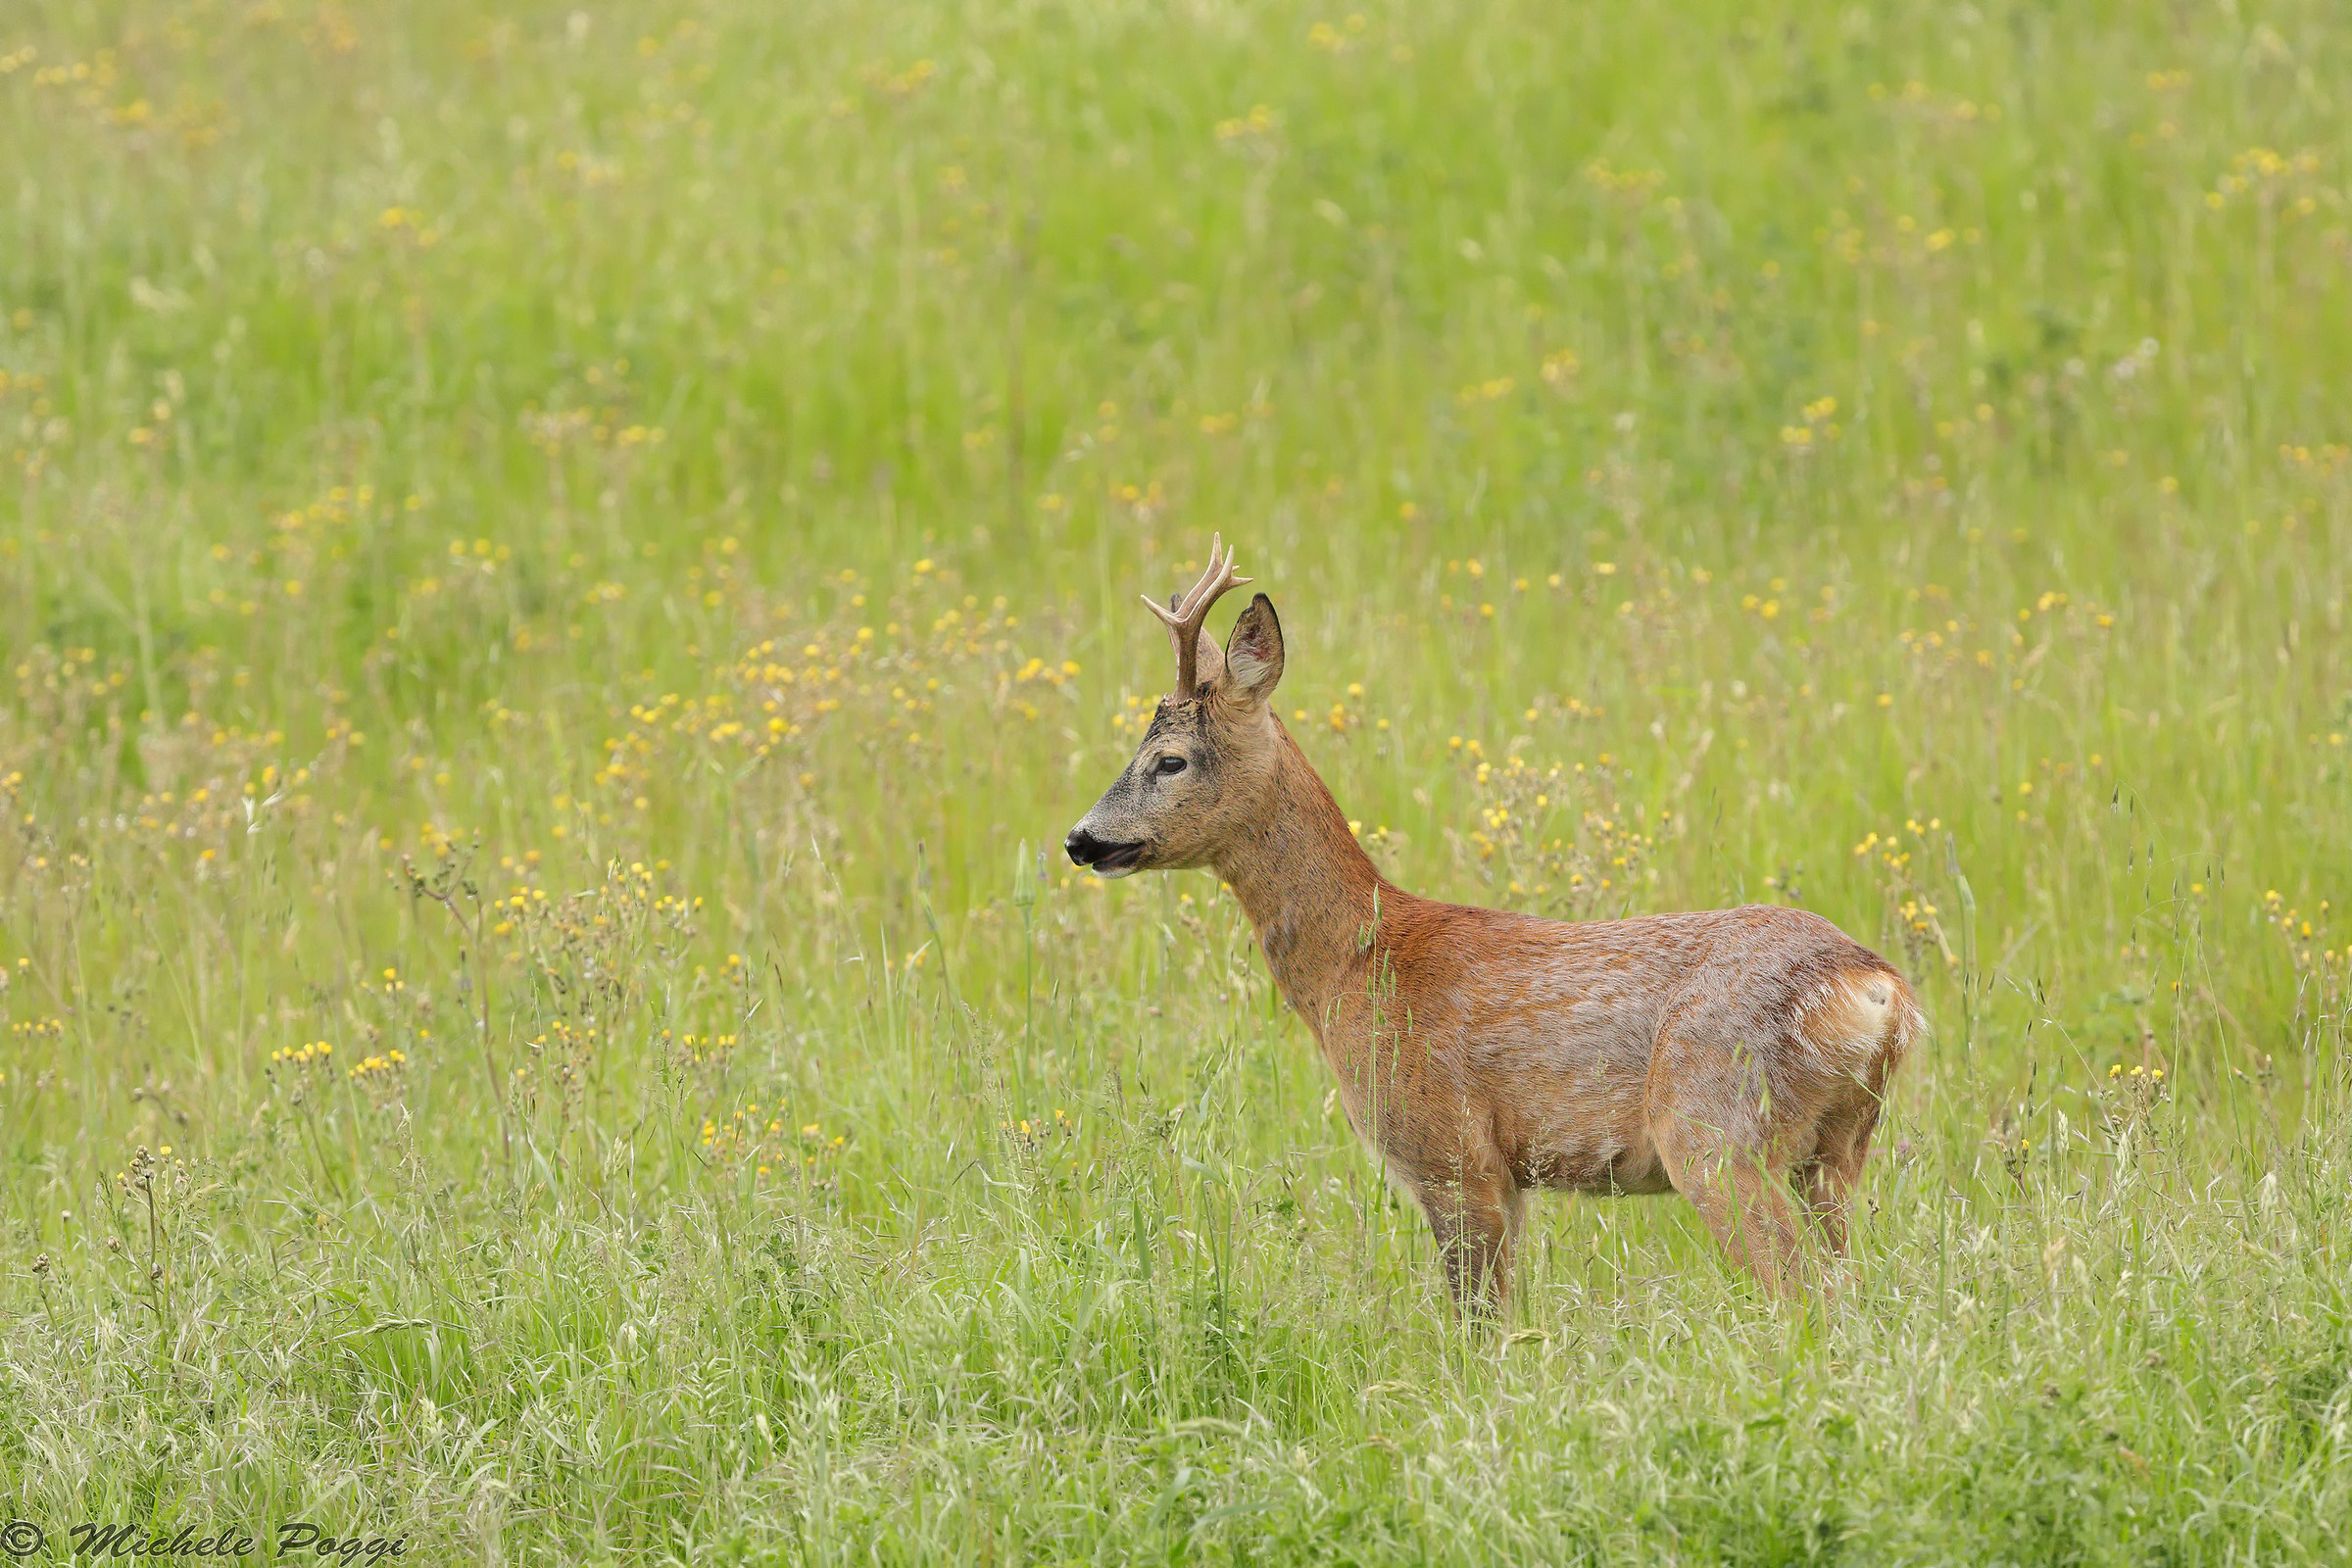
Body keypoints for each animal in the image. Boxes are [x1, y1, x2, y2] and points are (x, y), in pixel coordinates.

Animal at [1063, 539, 1923, 1315]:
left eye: (1171, 760)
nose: (1080, 839)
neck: (1358, 963)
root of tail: (1877, 988)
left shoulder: (1447, 1150)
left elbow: (1478, 1326)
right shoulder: (1508, 1178)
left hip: (1715, 1128)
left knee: (1801, 1292)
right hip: (1837, 1151)